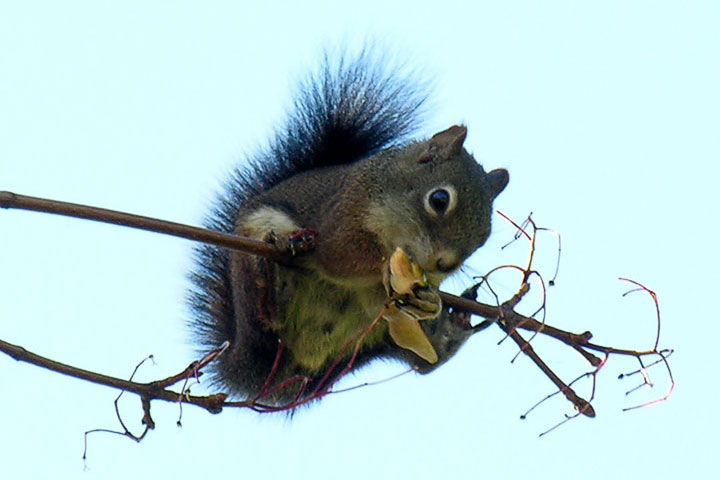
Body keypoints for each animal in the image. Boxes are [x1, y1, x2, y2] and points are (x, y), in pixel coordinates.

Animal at [188, 51, 510, 404]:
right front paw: (383, 269)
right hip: (253, 255)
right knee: (267, 317)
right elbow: (339, 257)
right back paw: (273, 280)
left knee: (426, 360)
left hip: (383, 337)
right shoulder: (340, 218)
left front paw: (432, 301)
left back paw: (452, 329)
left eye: (484, 237)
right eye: (439, 199)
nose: (446, 264)